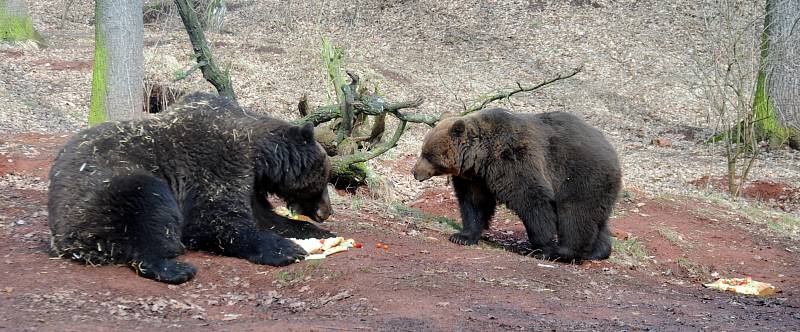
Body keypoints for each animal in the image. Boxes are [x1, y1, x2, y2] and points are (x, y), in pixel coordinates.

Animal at [47, 92, 334, 284]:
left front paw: (318, 232)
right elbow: (216, 221)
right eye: (324, 178)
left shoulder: (248, 182)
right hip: (112, 188)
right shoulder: (216, 162)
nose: (326, 212)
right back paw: (176, 268)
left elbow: (265, 217)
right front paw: (286, 249)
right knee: (149, 212)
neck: (258, 157)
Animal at [412, 109, 624, 262]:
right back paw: (598, 251)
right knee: (597, 218)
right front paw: (462, 236)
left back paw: (564, 252)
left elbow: (532, 202)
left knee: (575, 213)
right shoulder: (475, 179)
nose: (414, 171)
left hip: (580, 176)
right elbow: (474, 204)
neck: (481, 159)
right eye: (423, 150)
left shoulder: (514, 163)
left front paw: (542, 247)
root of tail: (611, 149)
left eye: (428, 154)